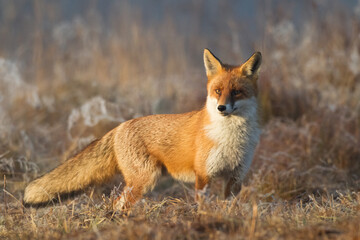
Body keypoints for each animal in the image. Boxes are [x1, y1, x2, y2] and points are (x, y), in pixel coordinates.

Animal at [23, 49, 262, 209]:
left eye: (237, 92)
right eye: (218, 91)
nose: (222, 108)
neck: (231, 139)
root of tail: (120, 126)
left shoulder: (236, 178)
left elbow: (231, 206)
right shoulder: (203, 176)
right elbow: (202, 208)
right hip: (145, 180)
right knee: (118, 204)